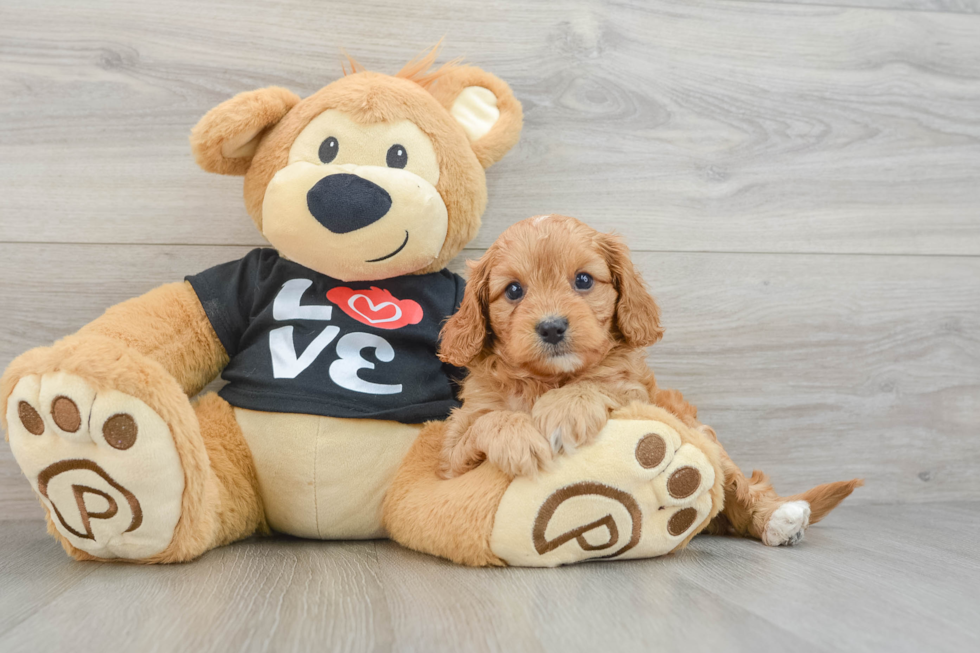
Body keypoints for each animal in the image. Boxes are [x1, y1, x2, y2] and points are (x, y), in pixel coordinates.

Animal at [436, 214, 856, 544]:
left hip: (700, 433)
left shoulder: (635, 394)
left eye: (584, 280)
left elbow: (600, 383)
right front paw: (519, 437)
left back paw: (778, 519)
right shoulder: (452, 458)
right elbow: (484, 423)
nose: (552, 327)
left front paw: (563, 412)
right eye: (513, 290)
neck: (548, 380)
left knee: (741, 486)